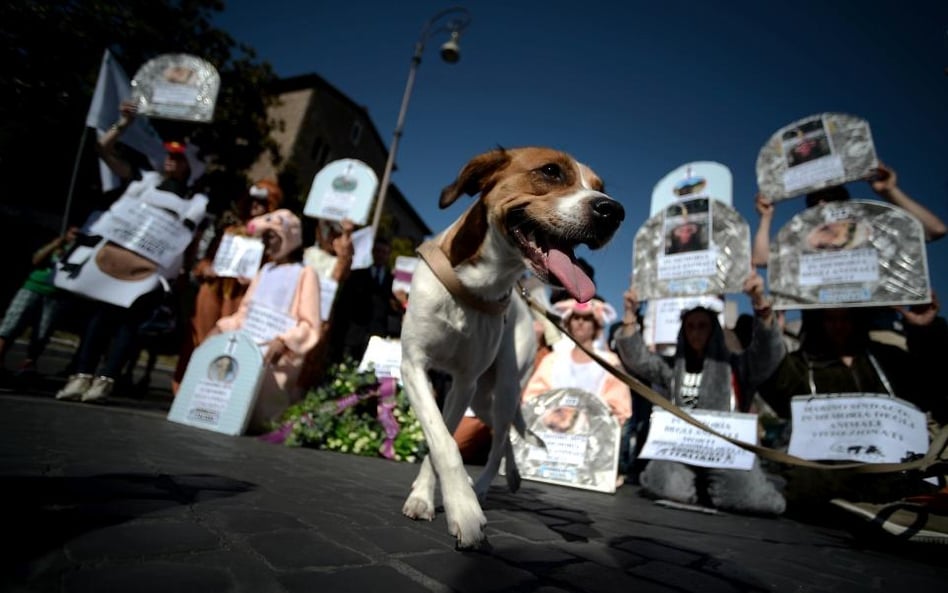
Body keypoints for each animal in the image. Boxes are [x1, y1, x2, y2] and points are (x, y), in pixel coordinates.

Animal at [398, 147, 624, 544]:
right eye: (550, 171)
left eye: (600, 187)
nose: (613, 211)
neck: (477, 285)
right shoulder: (414, 365)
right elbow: (441, 440)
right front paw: (438, 501)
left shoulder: (463, 381)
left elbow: (443, 442)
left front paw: (456, 504)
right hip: (481, 399)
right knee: (502, 435)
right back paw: (505, 478)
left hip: (503, 387)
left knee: (502, 435)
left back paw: (484, 487)